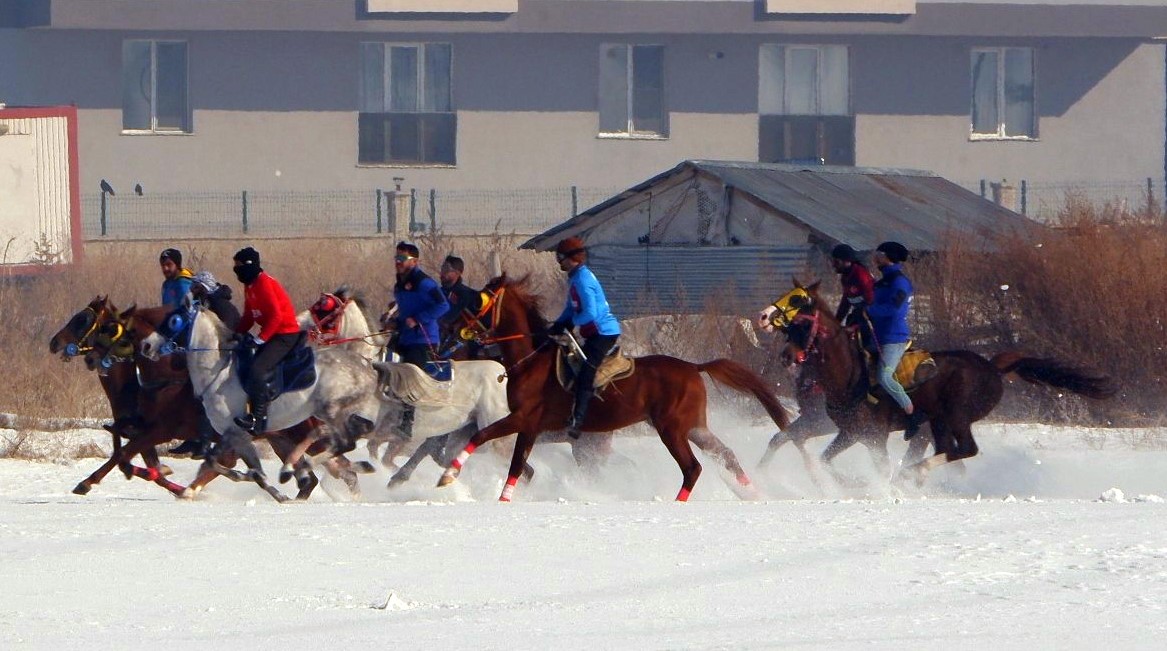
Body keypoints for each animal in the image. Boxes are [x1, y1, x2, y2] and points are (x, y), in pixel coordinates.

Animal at [436, 275, 793, 506]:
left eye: (478, 301)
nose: (448, 329)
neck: (530, 359)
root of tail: (694, 367)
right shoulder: (530, 426)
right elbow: (515, 462)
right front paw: (500, 495)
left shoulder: (524, 418)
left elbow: (484, 439)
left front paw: (450, 476)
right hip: (693, 426)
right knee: (725, 455)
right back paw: (752, 493)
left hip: (671, 429)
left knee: (693, 467)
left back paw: (677, 502)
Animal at [760, 283, 1115, 487]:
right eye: (791, 327)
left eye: (800, 313)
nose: (786, 355)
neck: (849, 376)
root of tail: (992, 367)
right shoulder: (848, 432)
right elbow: (811, 453)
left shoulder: (871, 435)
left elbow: (874, 465)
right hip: (939, 422)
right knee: (950, 452)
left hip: (956, 415)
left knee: (965, 449)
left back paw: (914, 473)